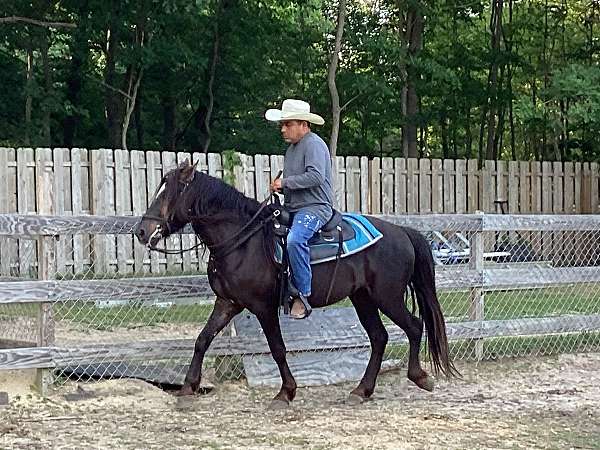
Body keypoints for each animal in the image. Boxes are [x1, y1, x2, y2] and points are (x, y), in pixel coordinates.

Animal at [135, 160, 454, 406]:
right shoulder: (228, 302)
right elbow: (202, 339)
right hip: (363, 298)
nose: (141, 231)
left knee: (414, 326)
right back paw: (361, 391)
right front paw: (187, 389)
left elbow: (277, 348)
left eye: (169, 194)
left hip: (387, 297)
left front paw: (285, 393)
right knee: (379, 337)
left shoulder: (263, 307)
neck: (242, 240)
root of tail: (401, 232)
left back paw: (420, 377)